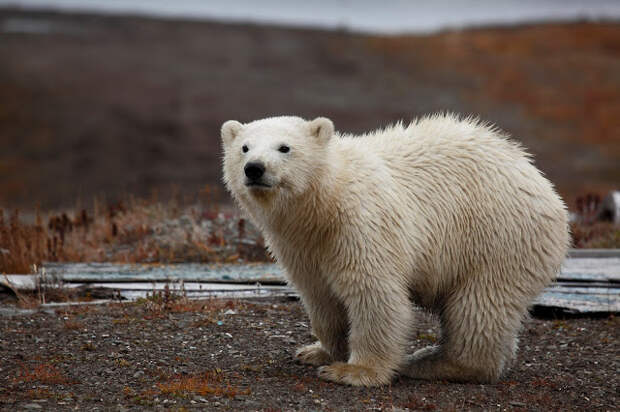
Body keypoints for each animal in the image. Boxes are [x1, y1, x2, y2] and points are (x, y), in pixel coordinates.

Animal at [220, 114, 568, 388]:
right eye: (245, 148)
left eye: (284, 147)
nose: (254, 168)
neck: (324, 203)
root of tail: (545, 188)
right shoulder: (299, 246)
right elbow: (319, 297)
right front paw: (316, 351)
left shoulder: (361, 225)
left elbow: (374, 293)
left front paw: (353, 370)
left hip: (497, 238)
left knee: (479, 307)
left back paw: (431, 362)